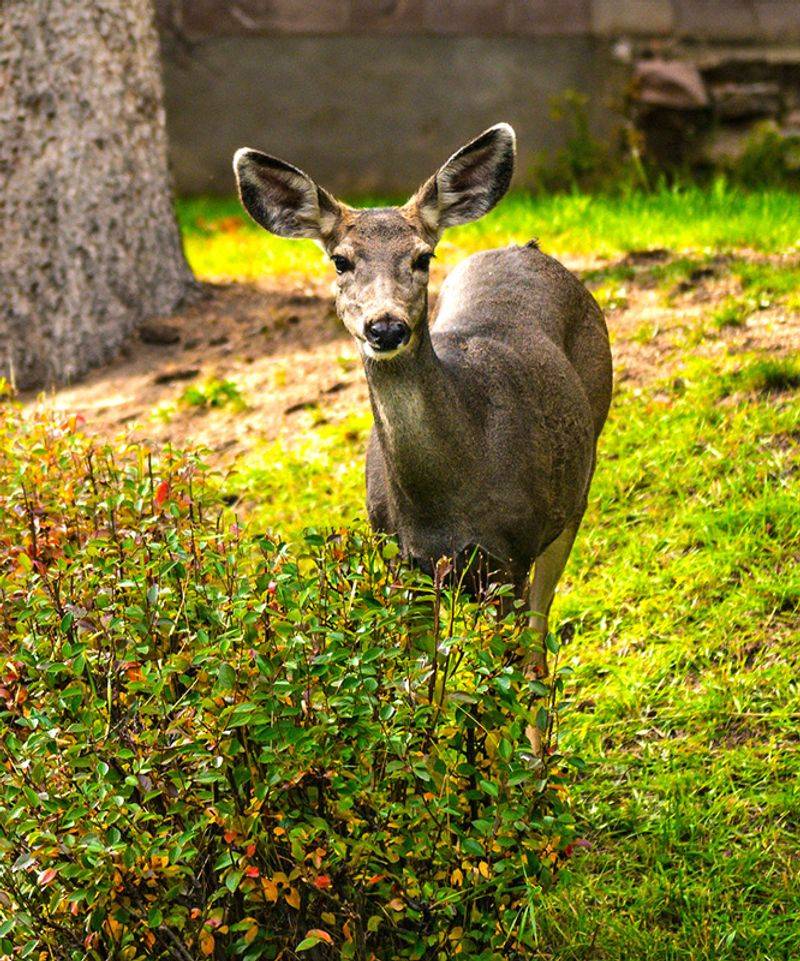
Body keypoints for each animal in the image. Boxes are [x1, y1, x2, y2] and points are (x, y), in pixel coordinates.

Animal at [233, 123, 612, 684]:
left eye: (422, 256)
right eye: (340, 259)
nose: (386, 326)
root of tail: (530, 248)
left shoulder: (511, 557)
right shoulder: (401, 563)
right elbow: (418, 684)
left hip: (574, 491)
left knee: (540, 645)